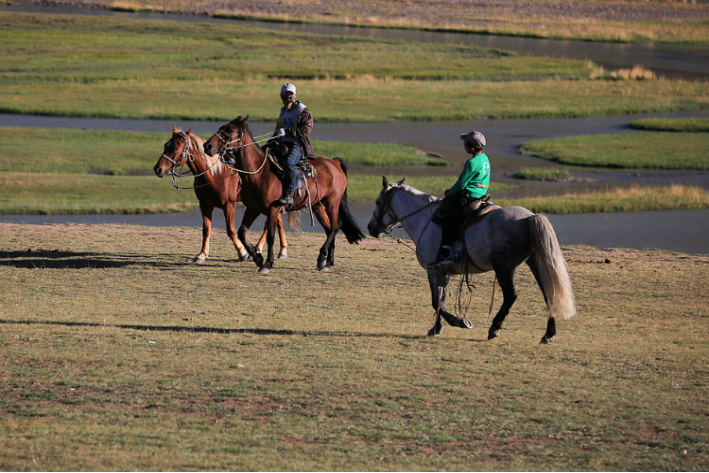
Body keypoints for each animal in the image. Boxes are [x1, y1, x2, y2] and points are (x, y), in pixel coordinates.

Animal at [153, 127, 286, 264]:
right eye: (166, 145)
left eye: (175, 148)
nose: (158, 169)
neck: (214, 174)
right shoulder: (205, 205)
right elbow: (206, 230)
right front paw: (202, 254)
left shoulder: (229, 205)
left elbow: (230, 230)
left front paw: (242, 252)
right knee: (277, 221)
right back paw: (280, 251)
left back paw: (260, 249)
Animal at [201, 114, 362, 272]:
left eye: (229, 131)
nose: (207, 146)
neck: (259, 173)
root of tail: (334, 163)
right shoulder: (253, 209)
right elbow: (241, 232)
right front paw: (257, 257)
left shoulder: (272, 209)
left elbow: (271, 236)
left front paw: (267, 263)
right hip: (318, 205)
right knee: (329, 229)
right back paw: (326, 261)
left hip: (332, 203)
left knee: (335, 226)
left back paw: (323, 258)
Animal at [366, 177, 576, 342]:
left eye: (377, 202)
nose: (370, 228)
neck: (424, 218)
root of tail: (529, 217)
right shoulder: (444, 272)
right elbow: (441, 300)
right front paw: (436, 328)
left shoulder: (432, 270)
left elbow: (436, 301)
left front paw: (458, 322)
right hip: (534, 263)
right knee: (549, 293)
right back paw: (548, 334)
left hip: (504, 269)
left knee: (511, 296)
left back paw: (495, 328)